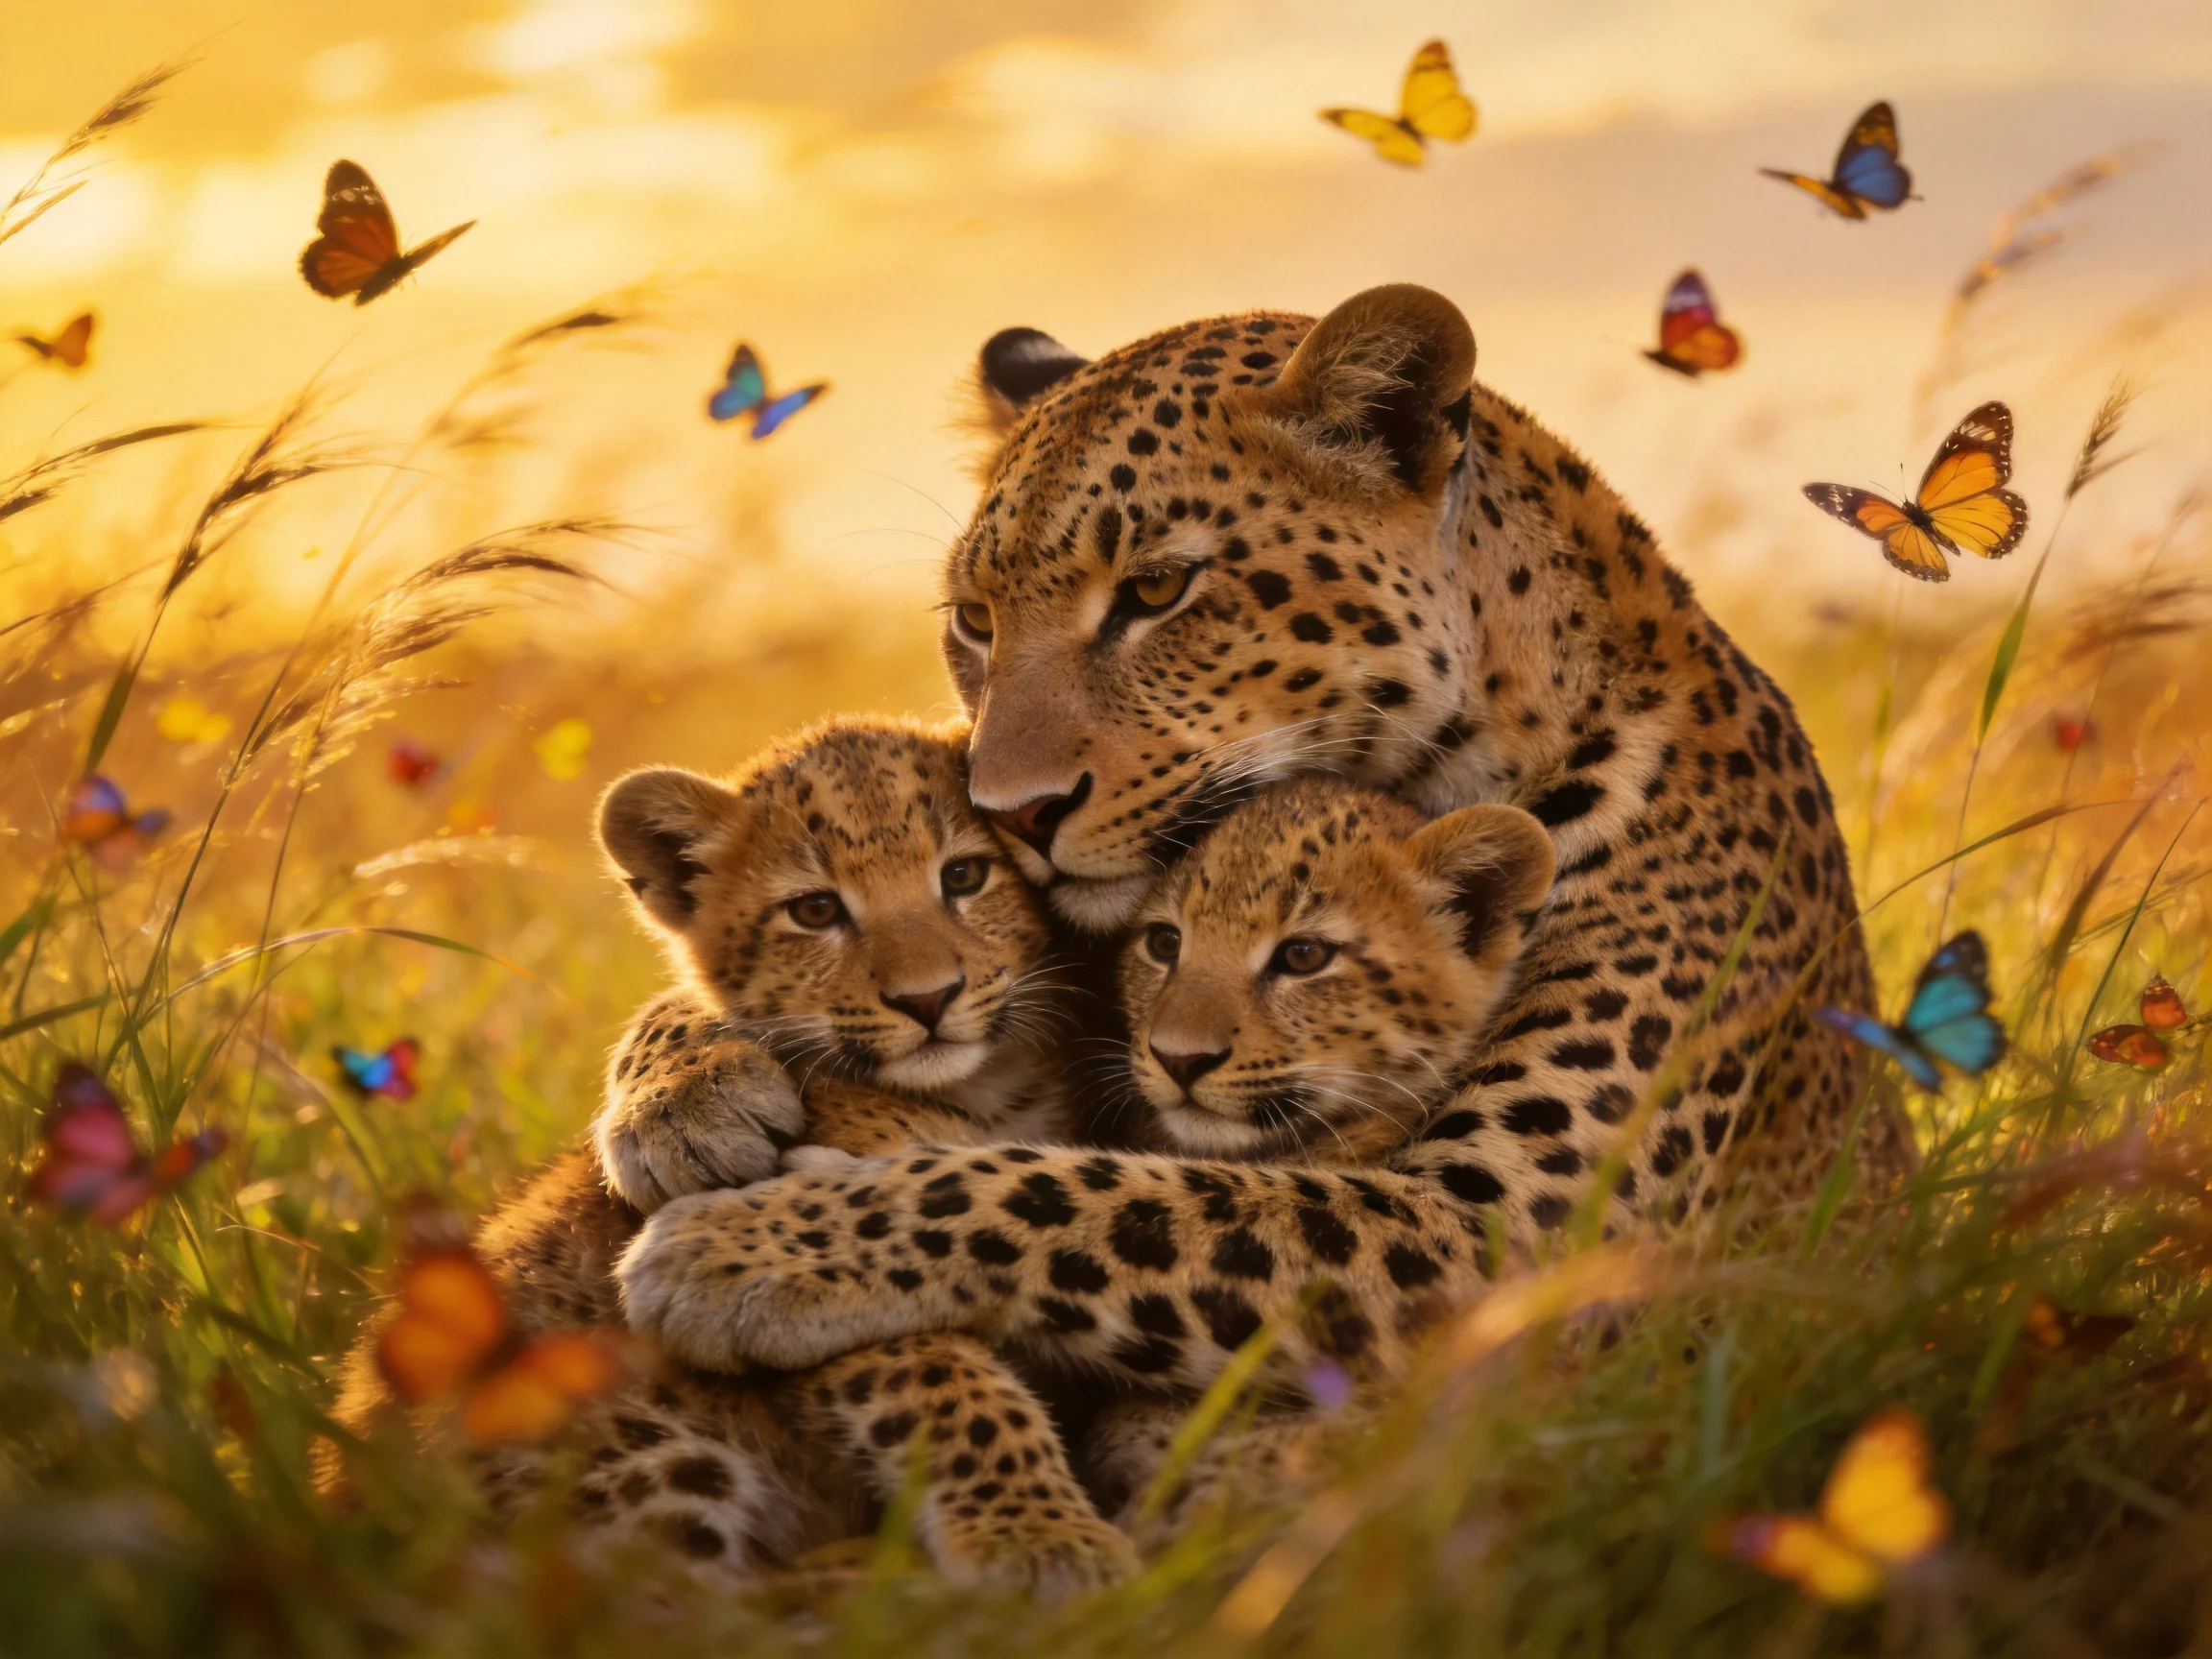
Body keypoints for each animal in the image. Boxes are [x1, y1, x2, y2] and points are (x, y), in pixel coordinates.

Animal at [323, 718, 1135, 1598]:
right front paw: (1039, 1535)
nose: (927, 999)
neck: (989, 1092)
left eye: (964, 875)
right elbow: (954, 1390)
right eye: (815, 910)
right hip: (630, 1453)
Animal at [607, 282, 1913, 1440]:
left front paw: (751, 1243)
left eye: (1156, 589)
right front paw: (681, 1096)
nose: (1010, 810)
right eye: (974, 622)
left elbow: (1089, 1194)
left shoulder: (1493, 1227)